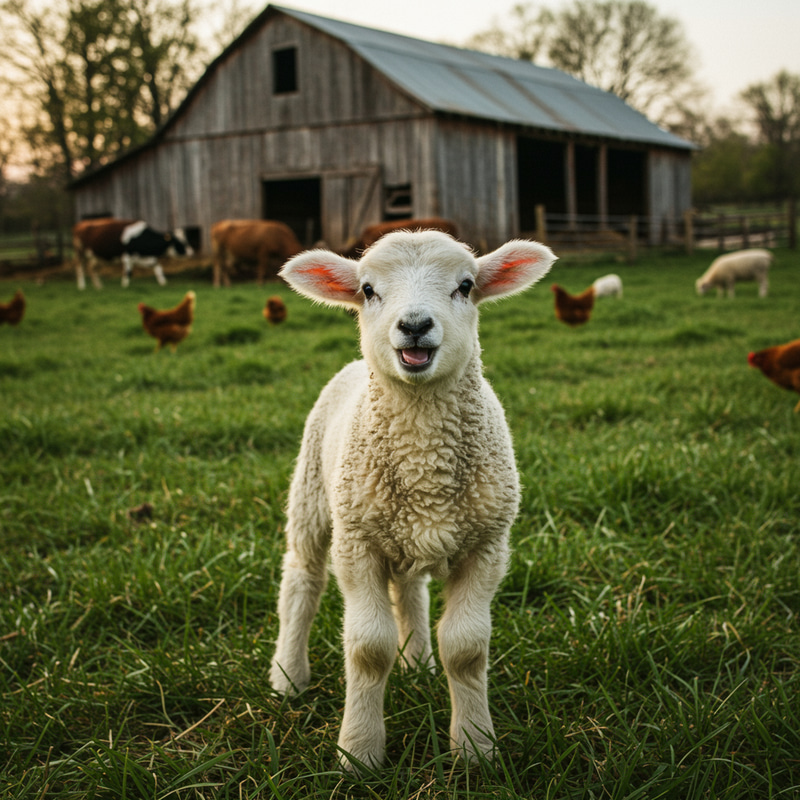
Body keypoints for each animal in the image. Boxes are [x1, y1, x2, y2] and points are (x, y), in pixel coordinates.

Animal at [269, 230, 557, 772]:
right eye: (367, 290)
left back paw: (417, 661)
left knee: (409, 589)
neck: (425, 465)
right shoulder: (357, 543)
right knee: (302, 578)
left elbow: (466, 649)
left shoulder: (488, 544)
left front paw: (474, 748)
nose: (415, 326)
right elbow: (367, 649)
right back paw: (288, 676)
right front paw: (359, 752)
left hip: (401, 531)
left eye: (465, 286)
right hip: (315, 494)